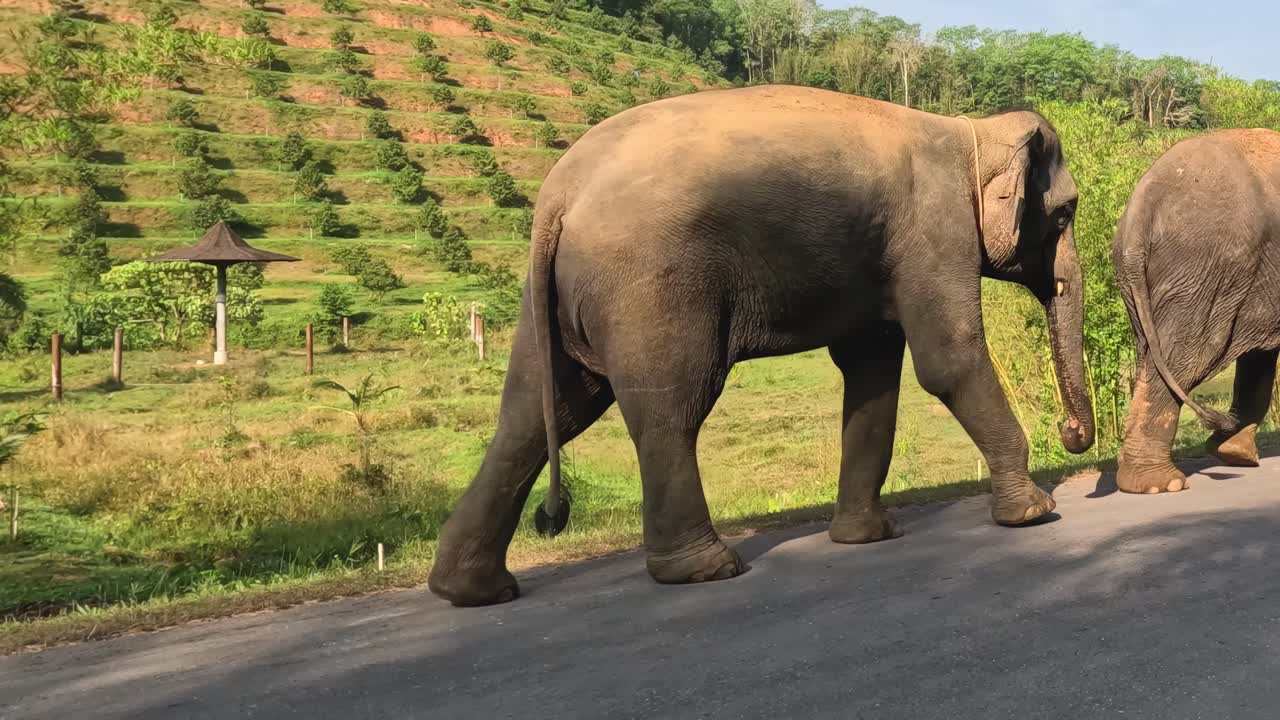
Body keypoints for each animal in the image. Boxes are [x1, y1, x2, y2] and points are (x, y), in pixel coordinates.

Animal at [427, 85, 1095, 608]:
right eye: (1065, 214)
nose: (1071, 435)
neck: (968, 132)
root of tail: (556, 197)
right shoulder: (933, 228)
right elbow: (946, 360)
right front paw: (1033, 513)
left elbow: (871, 372)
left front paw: (869, 537)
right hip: (652, 290)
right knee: (671, 410)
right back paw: (706, 569)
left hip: (555, 302)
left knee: (540, 414)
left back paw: (472, 590)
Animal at [1113, 128, 1280, 494]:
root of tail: (1144, 200)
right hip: (1204, 272)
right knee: (1185, 357)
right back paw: (1160, 485)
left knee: (1156, 356)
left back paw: (1233, 455)